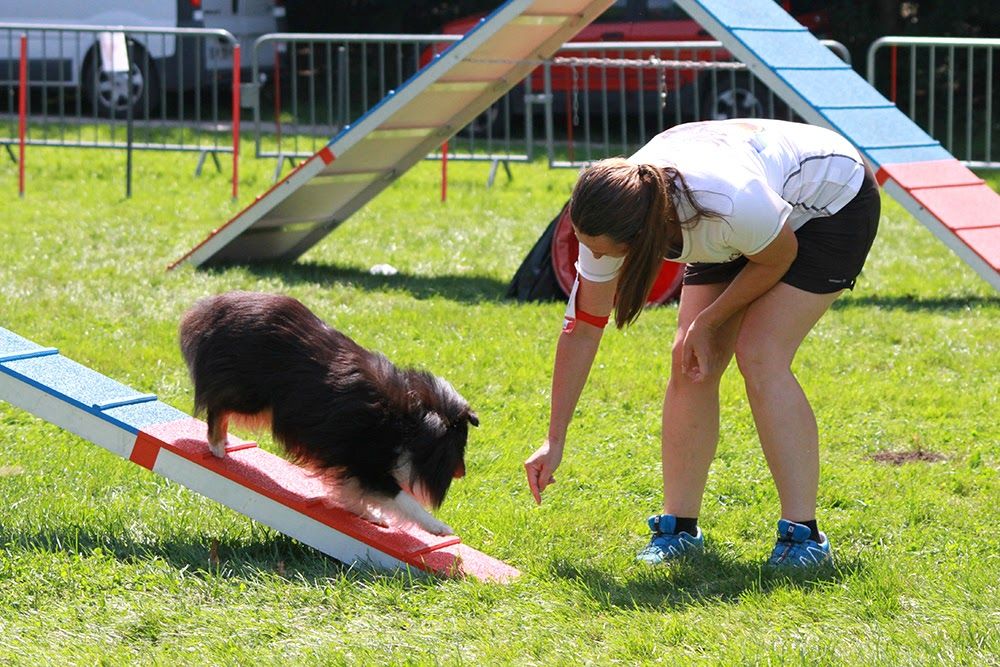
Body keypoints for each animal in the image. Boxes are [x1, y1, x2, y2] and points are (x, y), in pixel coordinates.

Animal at [179, 292, 476, 536]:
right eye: (460, 448)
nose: (463, 473)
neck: (411, 421)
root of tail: (217, 307)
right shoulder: (368, 463)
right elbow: (403, 499)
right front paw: (439, 527)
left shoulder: (358, 466)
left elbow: (353, 493)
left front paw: (371, 516)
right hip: (253, 398)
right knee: (217, 405)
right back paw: (217, 446)